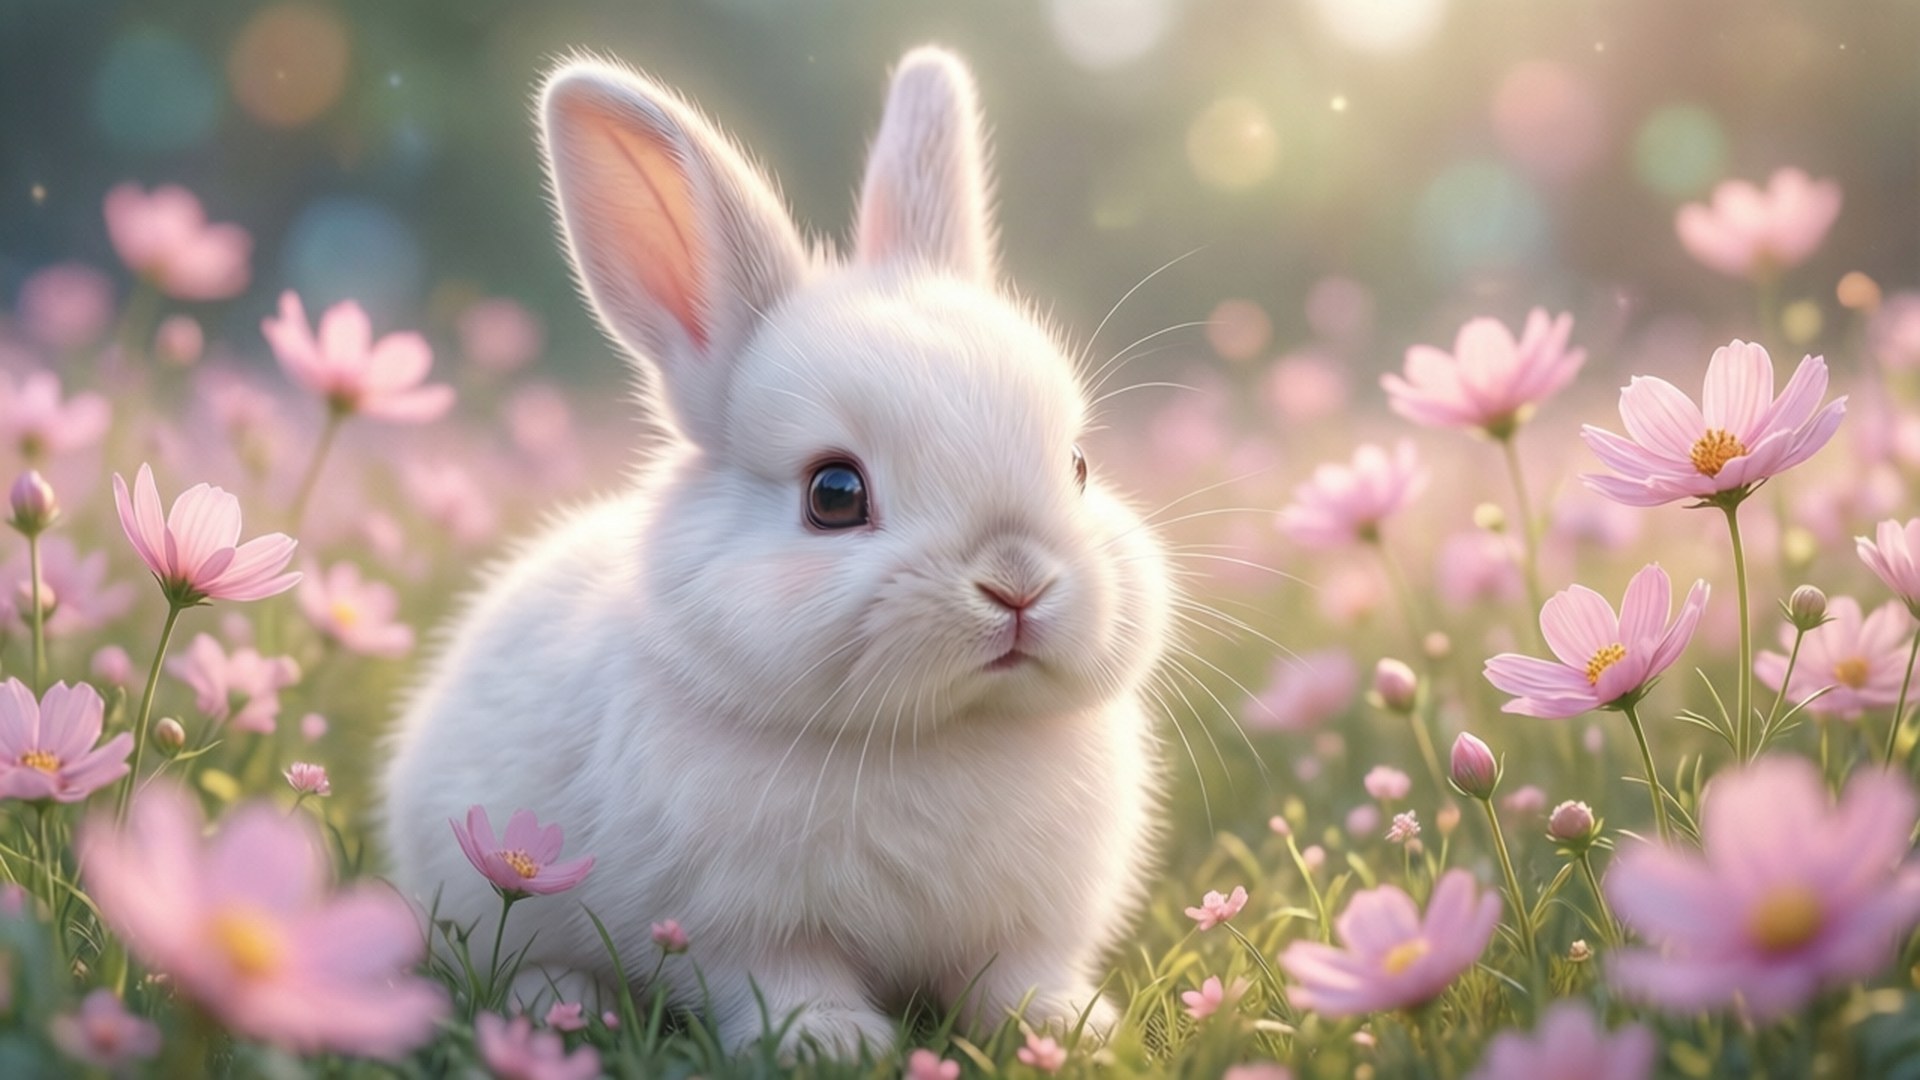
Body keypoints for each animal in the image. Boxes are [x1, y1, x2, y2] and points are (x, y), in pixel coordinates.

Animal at [380, 44, 1173, 1056]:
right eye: (834, 494)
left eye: (1077, 465)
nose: (1018, 583)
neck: (937, 735)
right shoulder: (744, 929)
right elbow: (787, 979)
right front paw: (836, 1042)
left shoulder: (1027, 925)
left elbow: (1015, 977)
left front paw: (1069, 1030)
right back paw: (563, 1005)